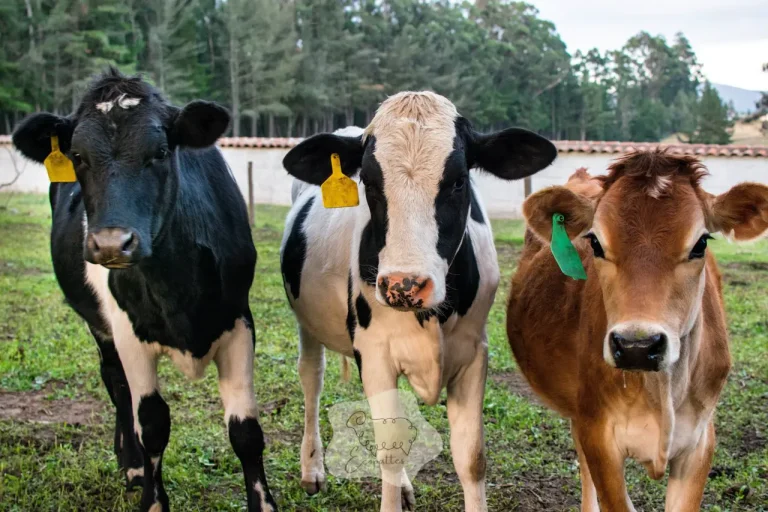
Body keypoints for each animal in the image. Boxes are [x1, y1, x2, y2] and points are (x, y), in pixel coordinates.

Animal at [11, 69, 276, 512]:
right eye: (78, 156)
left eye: (160, 152)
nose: (111, 244)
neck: (178, 288)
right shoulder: (128, 332)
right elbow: (151, 423)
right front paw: (153, 498)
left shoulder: (239, 319)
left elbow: (246, 430)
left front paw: (264, 503)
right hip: (100, 326)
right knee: (115, 383)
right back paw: (133, 465)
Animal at [279, 91, 557, 512]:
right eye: (369, 183)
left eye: (459, 181)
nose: (404, 285)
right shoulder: (374, 354)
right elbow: (390, 451)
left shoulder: (474, 353)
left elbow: (471, 458)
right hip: (307, 323)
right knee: (312, 377)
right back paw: (312, 469)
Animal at [507, 150, 768, 511]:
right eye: (595, 242)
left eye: (701, 243)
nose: (637, 346)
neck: (662, 393)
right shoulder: (599, 433)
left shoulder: (700, 440)